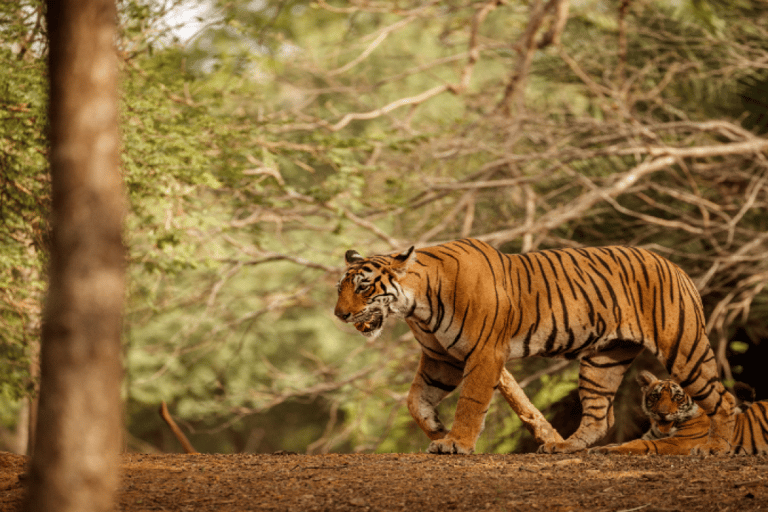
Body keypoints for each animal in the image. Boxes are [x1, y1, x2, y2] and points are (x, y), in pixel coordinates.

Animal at [332, 238, 736, 454]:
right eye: (340, 288)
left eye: (363, 287)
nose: (339, 314)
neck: (417, 306)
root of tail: (674, 265)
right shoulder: (440, 359)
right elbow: (415, 400)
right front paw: (435, 430)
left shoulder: (483, 353)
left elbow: (471, 402)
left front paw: (457, 442)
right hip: (603, 360)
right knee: (600, 416)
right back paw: (565, 446)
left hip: (683, 348)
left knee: (723, 399)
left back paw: (716, 448)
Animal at [592, 372, 764, 456]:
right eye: (655, 396)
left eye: (677, 397)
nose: (662, 413)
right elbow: (622, 443)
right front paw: (600, 448)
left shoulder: (680, 442)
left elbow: (639, 444)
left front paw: (607, 450)